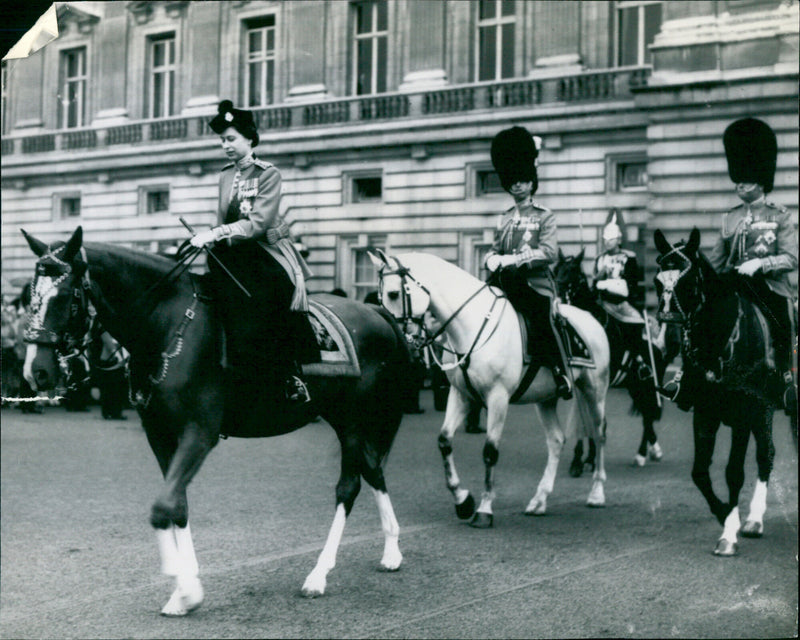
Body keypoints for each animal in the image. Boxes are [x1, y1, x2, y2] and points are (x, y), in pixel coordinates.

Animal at [21, 228, 412, 616]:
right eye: (30, 298)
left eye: (66, 297)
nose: (36, 372)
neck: (166, 325)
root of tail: (375, 310)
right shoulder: (161, 435)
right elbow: (177, 505)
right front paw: (183, 587)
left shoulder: (199, 434)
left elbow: (162, 508)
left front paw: (185, 587)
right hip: (342, 418)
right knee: (372, 469)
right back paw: (390, 549)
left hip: (353, 418)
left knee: (349, 486)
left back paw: (320, 573)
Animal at [372, 250, 608, 524]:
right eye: (381, 296)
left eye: (393, 294)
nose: (391, 338)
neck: (471, 325)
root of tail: (590, 317)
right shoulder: (461, 395)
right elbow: (444, 441)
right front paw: (463, 500)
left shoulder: (498, 398)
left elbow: (490, 451)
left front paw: (484, 509)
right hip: (545, 398)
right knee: (556, 440)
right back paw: (539, 500)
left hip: (594, 391)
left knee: (599, 433)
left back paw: (597, 493)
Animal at [556, 248, 680, 472]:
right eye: (555, 271)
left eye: (573, 274)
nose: (558, 303)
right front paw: (581, 459)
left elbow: (596, 418)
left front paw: (589, 459)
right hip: (634, 384)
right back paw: (653, 449)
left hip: (648, 382)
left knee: (648, 414)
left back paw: (641, 455)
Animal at [656, 229, 788, 556]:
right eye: (656, 282)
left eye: (689, 284)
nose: (665, 341)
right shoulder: (705, 413)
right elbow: (700, 472)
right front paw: (725, 514)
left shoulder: (745, 411)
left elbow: (733, 472)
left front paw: (729, 533)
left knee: (765, 455)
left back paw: (755, 518)